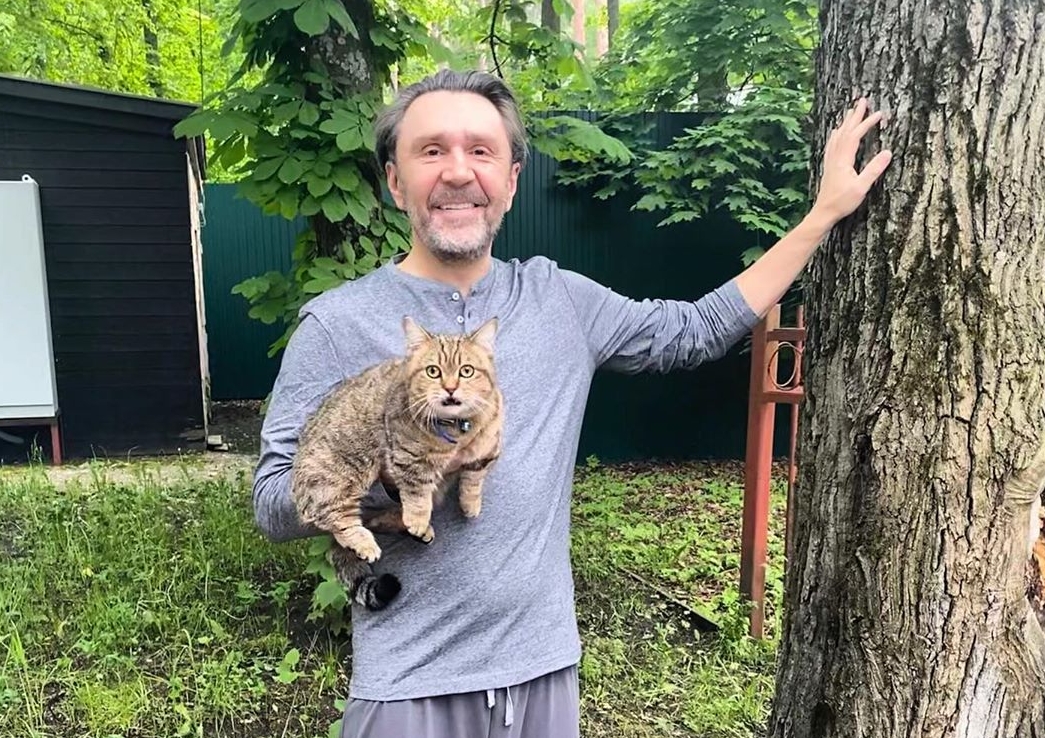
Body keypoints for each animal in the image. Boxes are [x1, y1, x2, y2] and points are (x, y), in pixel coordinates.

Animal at [290, 316, 504, 610]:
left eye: (467, 371)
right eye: (433, 371)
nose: (450, 388)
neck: (457, 428)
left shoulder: (486, 449)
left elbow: (473, 478)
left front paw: (470, 504)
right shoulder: (407, 458)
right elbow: (417, 494)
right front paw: (417, 518)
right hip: (333, 479)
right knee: (334, 519)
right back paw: (367, 542)